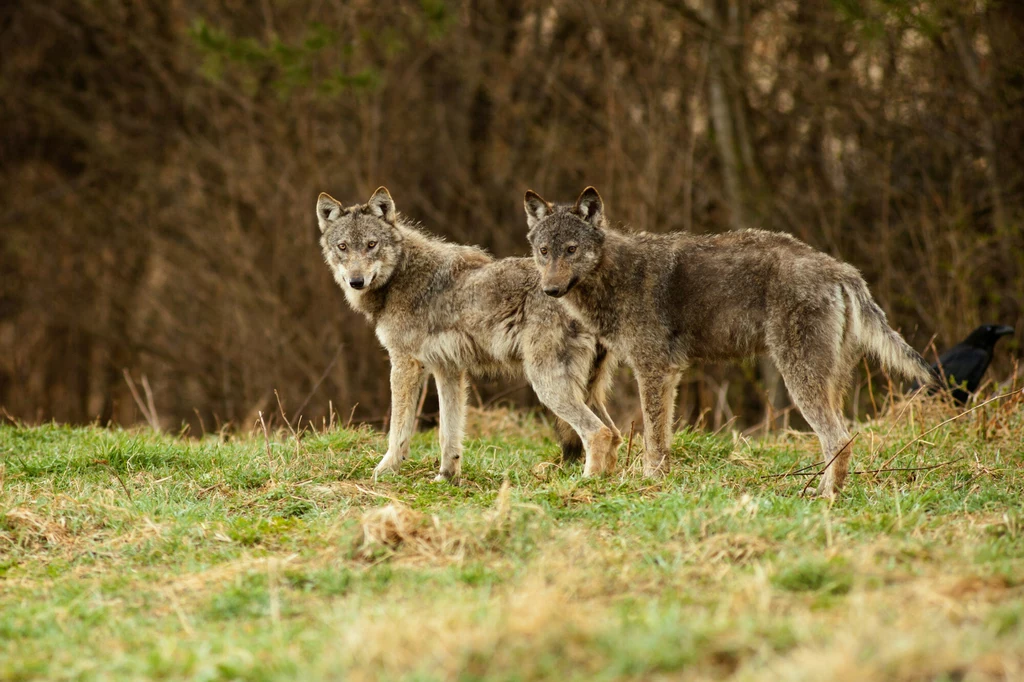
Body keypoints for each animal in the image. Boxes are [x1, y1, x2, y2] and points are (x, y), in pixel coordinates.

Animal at [317, 186, 622, 477]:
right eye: (343, 246)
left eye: (372, 245)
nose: (356, 281)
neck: (400, 275)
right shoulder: (447, 369)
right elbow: (448, 433)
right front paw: (446, 477)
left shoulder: (405, 364)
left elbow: (398, 430)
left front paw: (384, 471)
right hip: (584, 389)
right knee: (616, 434)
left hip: (546, 385)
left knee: (599, 432)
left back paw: (586, 482)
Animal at [524, 186, 933, 493]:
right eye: (544, 251)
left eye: (571, 249)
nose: (550, 290)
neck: (614, 274)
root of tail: (842, 270)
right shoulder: (667, 375)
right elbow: (662, 439)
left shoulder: (653, 371)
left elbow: (653, 440)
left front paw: (649, 482)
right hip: (829, 384)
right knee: (840, 439)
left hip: (800, 381)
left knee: (839, 438)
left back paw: (823, 498)